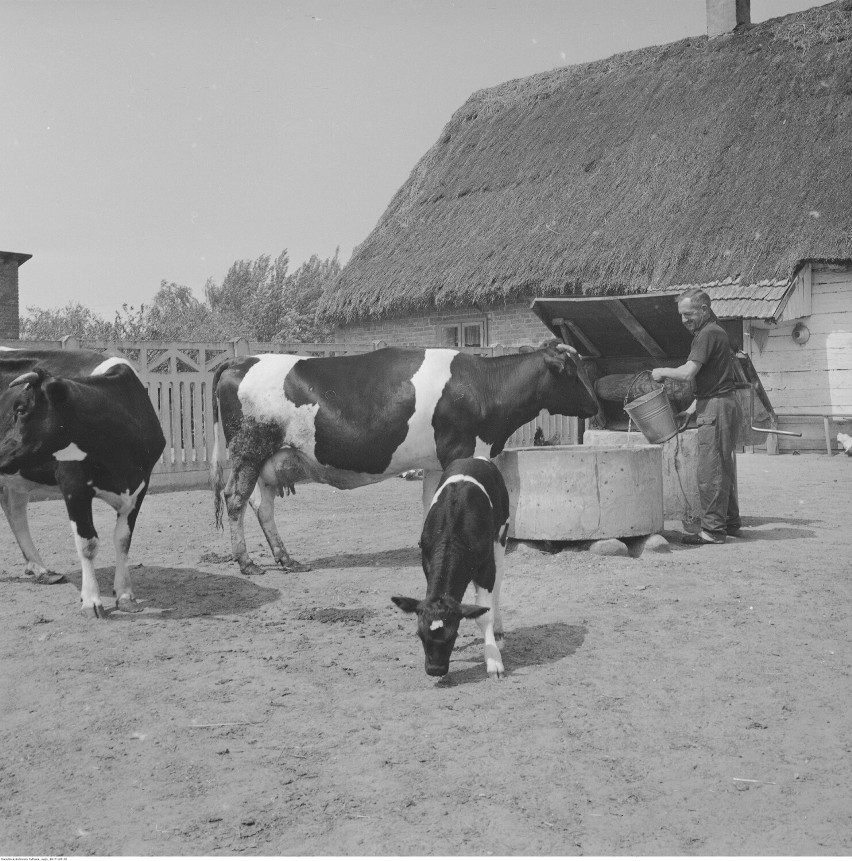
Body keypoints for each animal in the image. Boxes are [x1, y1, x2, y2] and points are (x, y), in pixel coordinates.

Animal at [0, 350, 167, 620]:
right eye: (14, 408)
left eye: (21, 409)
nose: (0, 454)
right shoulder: (73, 485)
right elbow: (88, 543)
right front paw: (91, 601)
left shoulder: (140, 487)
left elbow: (123, 539)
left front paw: (125, 595)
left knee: (14, 509)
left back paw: (41, 570)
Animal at [211, 340, 600, 576]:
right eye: (572, 370)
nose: (596, 404)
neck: (483, 386)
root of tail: (241, 359)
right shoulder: (463, 451)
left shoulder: (434, 462)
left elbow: (432, 503)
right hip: (249, 450)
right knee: (235, 500)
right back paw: (246, 562)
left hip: (271, 461)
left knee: (262, 507)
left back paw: (286, 559)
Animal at [392, 454, 510, 680]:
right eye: (419, 635)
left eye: (453, 634)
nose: (435, 670)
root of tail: (476, 458)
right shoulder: (426, 561)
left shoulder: (486, 567)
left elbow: (485, 615)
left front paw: (493, 659)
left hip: (502, 534)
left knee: (499, 583)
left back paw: (499, 631)